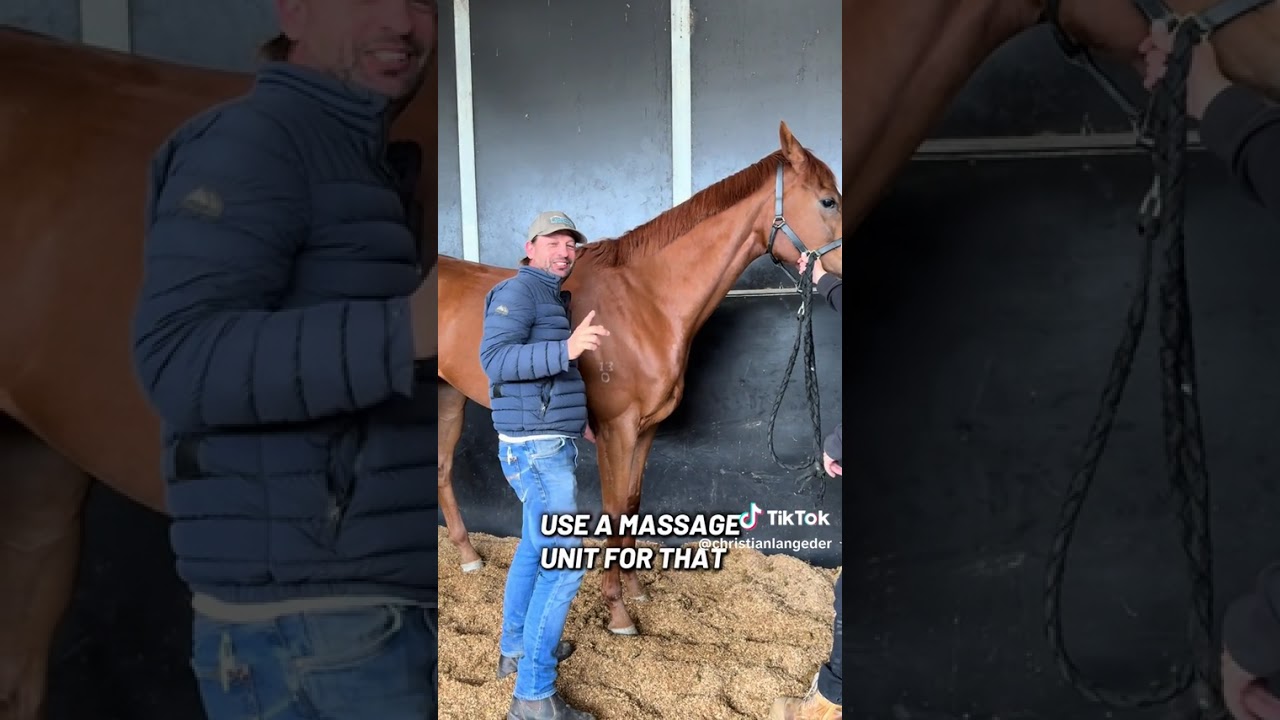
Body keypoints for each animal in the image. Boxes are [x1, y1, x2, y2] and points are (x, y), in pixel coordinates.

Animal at [436, 0, 1280, 640]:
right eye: (827, 198)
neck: (641, 299)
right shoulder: (612, 433)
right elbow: (613, 516)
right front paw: (619, 617)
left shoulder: (638, 436)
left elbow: (635, 512)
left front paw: (637, 597)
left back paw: (469, 558)